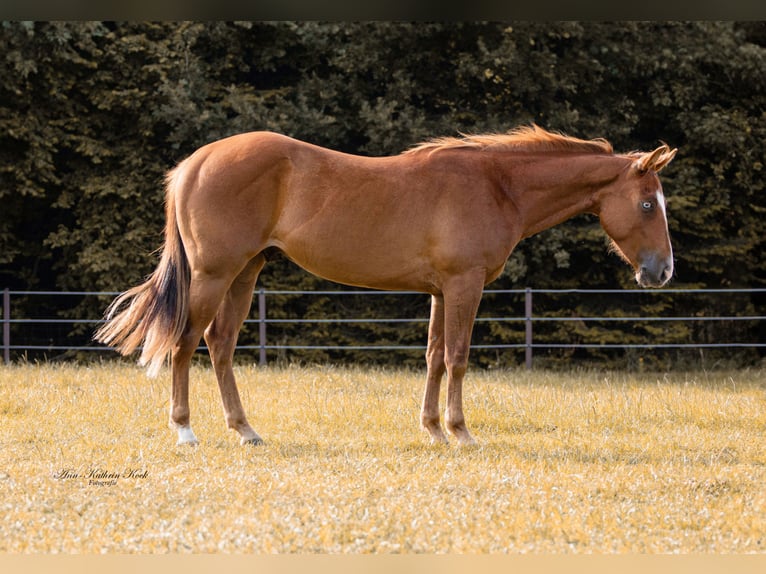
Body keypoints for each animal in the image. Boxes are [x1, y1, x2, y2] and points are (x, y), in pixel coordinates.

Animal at [95, 125, 676, 446]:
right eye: (649, 204)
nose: (662, 270)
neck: (497, 185)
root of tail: (194, 163)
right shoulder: (464, 286)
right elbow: (459, 357)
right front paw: (462, 432)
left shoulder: (441, 291)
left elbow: (435, 357)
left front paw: (433, 428)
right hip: (215, 274)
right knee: (185, 343)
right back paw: (185, 430)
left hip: (245, 273)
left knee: (220, 346)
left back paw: (245, 430)